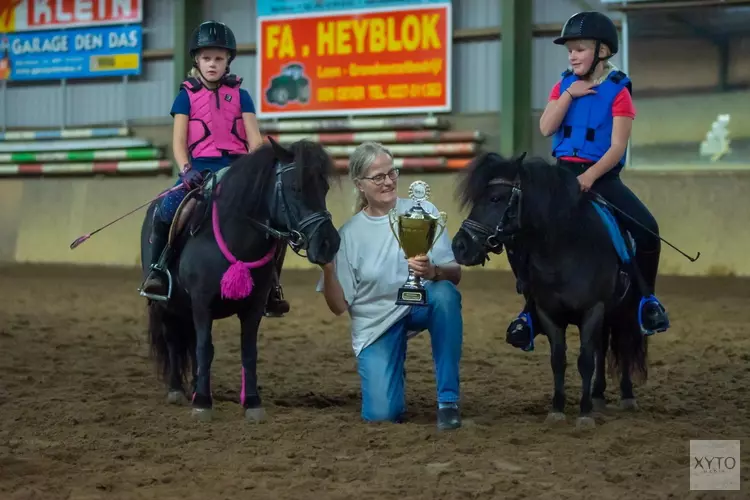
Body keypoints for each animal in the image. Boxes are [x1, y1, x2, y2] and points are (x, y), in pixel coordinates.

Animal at [140, 138, 342, 422]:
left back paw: (195, 386)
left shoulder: (253, 306)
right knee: (173, 339)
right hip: (164, 305)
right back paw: (177, 390)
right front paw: (202, 403)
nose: (329, 243)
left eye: (324, 188)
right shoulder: (201, 302)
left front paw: (252, 403)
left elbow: (248, 351)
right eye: (296, 188)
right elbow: (205, 348)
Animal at [452, 152, 652, 430]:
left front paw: (584, 414)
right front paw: (557, 409)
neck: (565, 249)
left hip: (625, 309)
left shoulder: (592, 309)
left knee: (623, 344)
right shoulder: (549, 312)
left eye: (495, 198)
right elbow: (558, 360)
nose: (459, 246)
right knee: (603, 347)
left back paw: (626, 396)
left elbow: (585, 360)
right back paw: (598, 395)